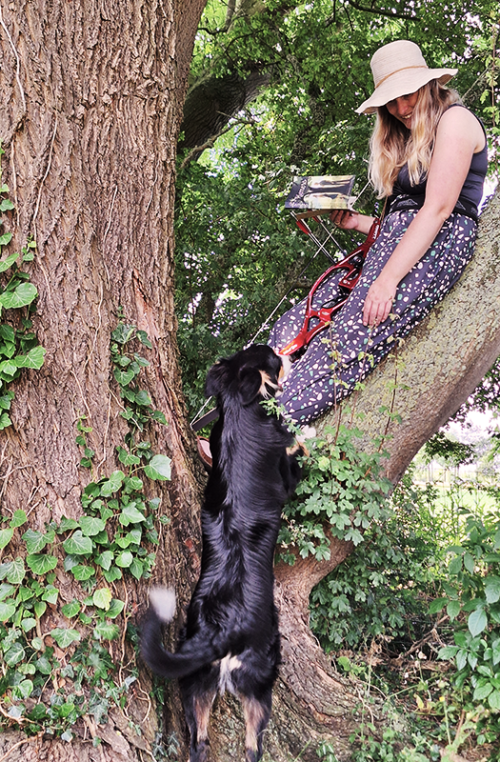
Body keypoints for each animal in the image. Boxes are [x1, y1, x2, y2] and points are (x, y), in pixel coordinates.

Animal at [142, 344, 304, 760]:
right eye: (274, 360)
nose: (288, 352)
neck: (237, 410)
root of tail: (223, 629)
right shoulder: (285, 473)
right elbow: (296, 454)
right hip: (261, 680)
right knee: (252, 746)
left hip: (195, 684)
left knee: (199, 743)